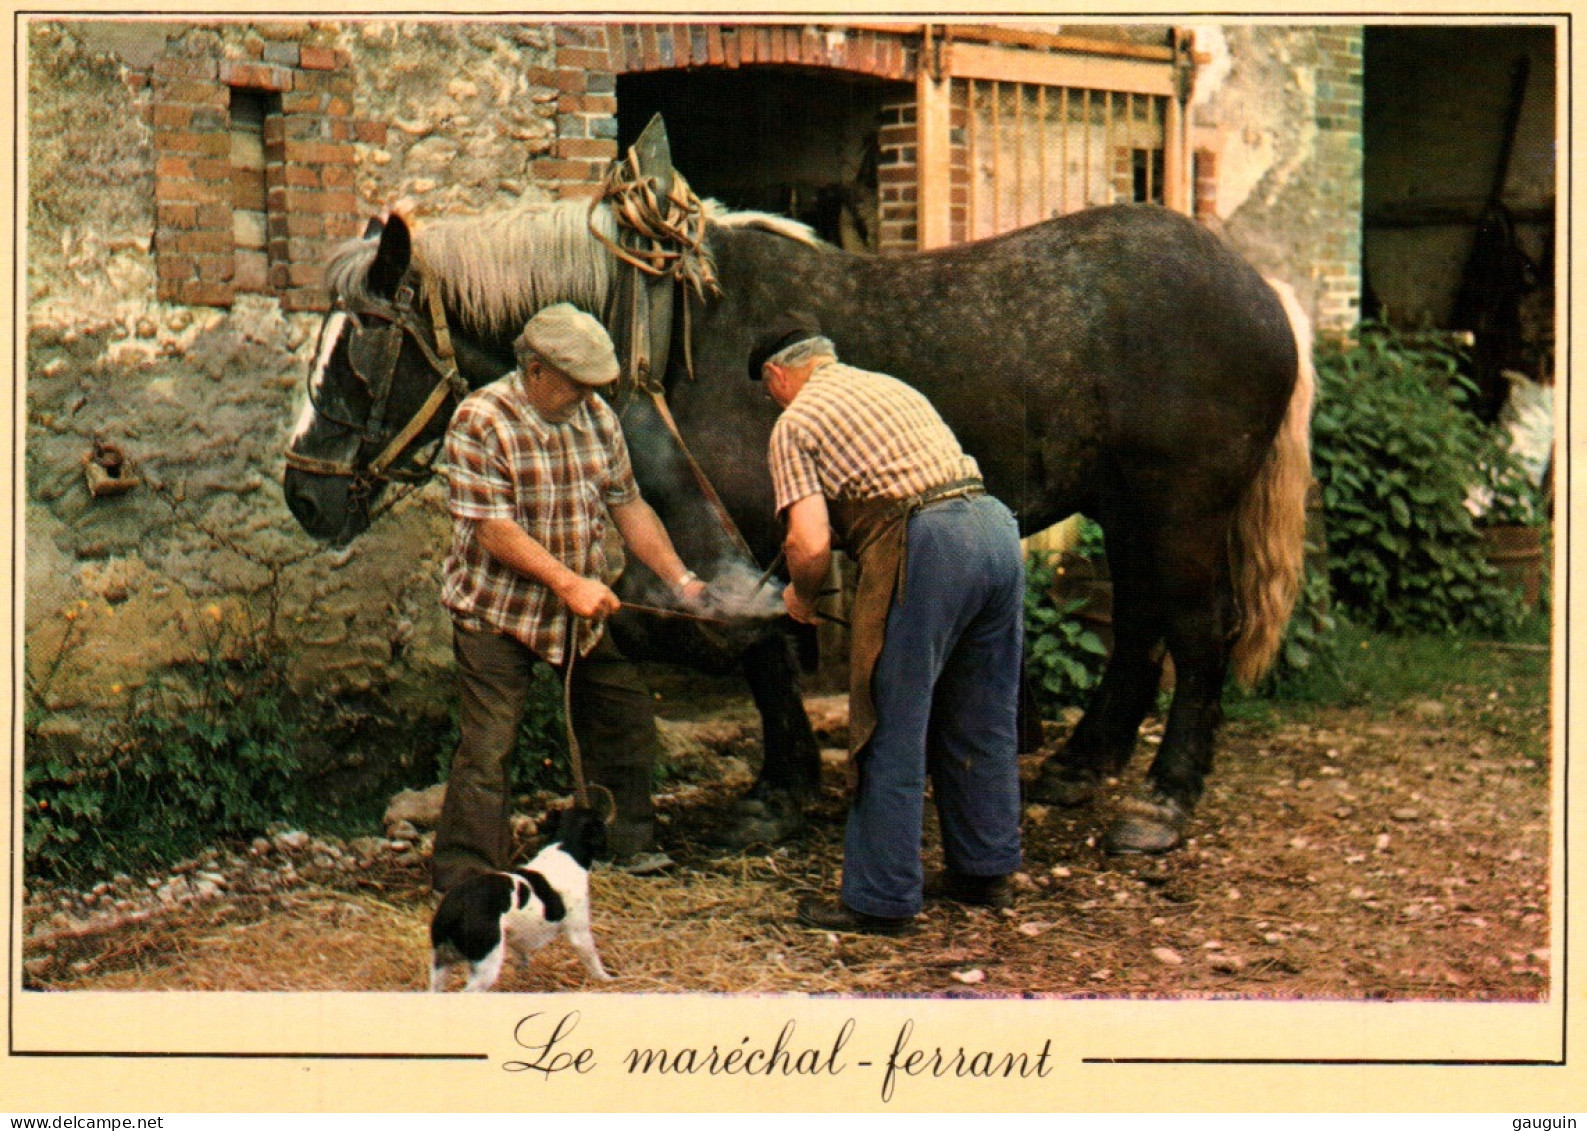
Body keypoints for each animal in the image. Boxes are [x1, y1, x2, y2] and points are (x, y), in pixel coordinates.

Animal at [279, 194, 1307, 850]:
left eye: (360, 354)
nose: (303, 494)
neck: (671, 331)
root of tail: (1261, 289)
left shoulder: (754, 533)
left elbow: (765, 654)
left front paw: (775, 796)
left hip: (1181, 506)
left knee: (1197, 632)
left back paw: (1162, 801)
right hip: (1126, 508)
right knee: (1137, 628)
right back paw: (1080, 763)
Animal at [428, 802, 612, 989]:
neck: (564, 849)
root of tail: (455, 907)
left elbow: (521, 957)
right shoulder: (579, 932)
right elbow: (592, 959)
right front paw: (605, 979)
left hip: (440, 966)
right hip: (485, 966)